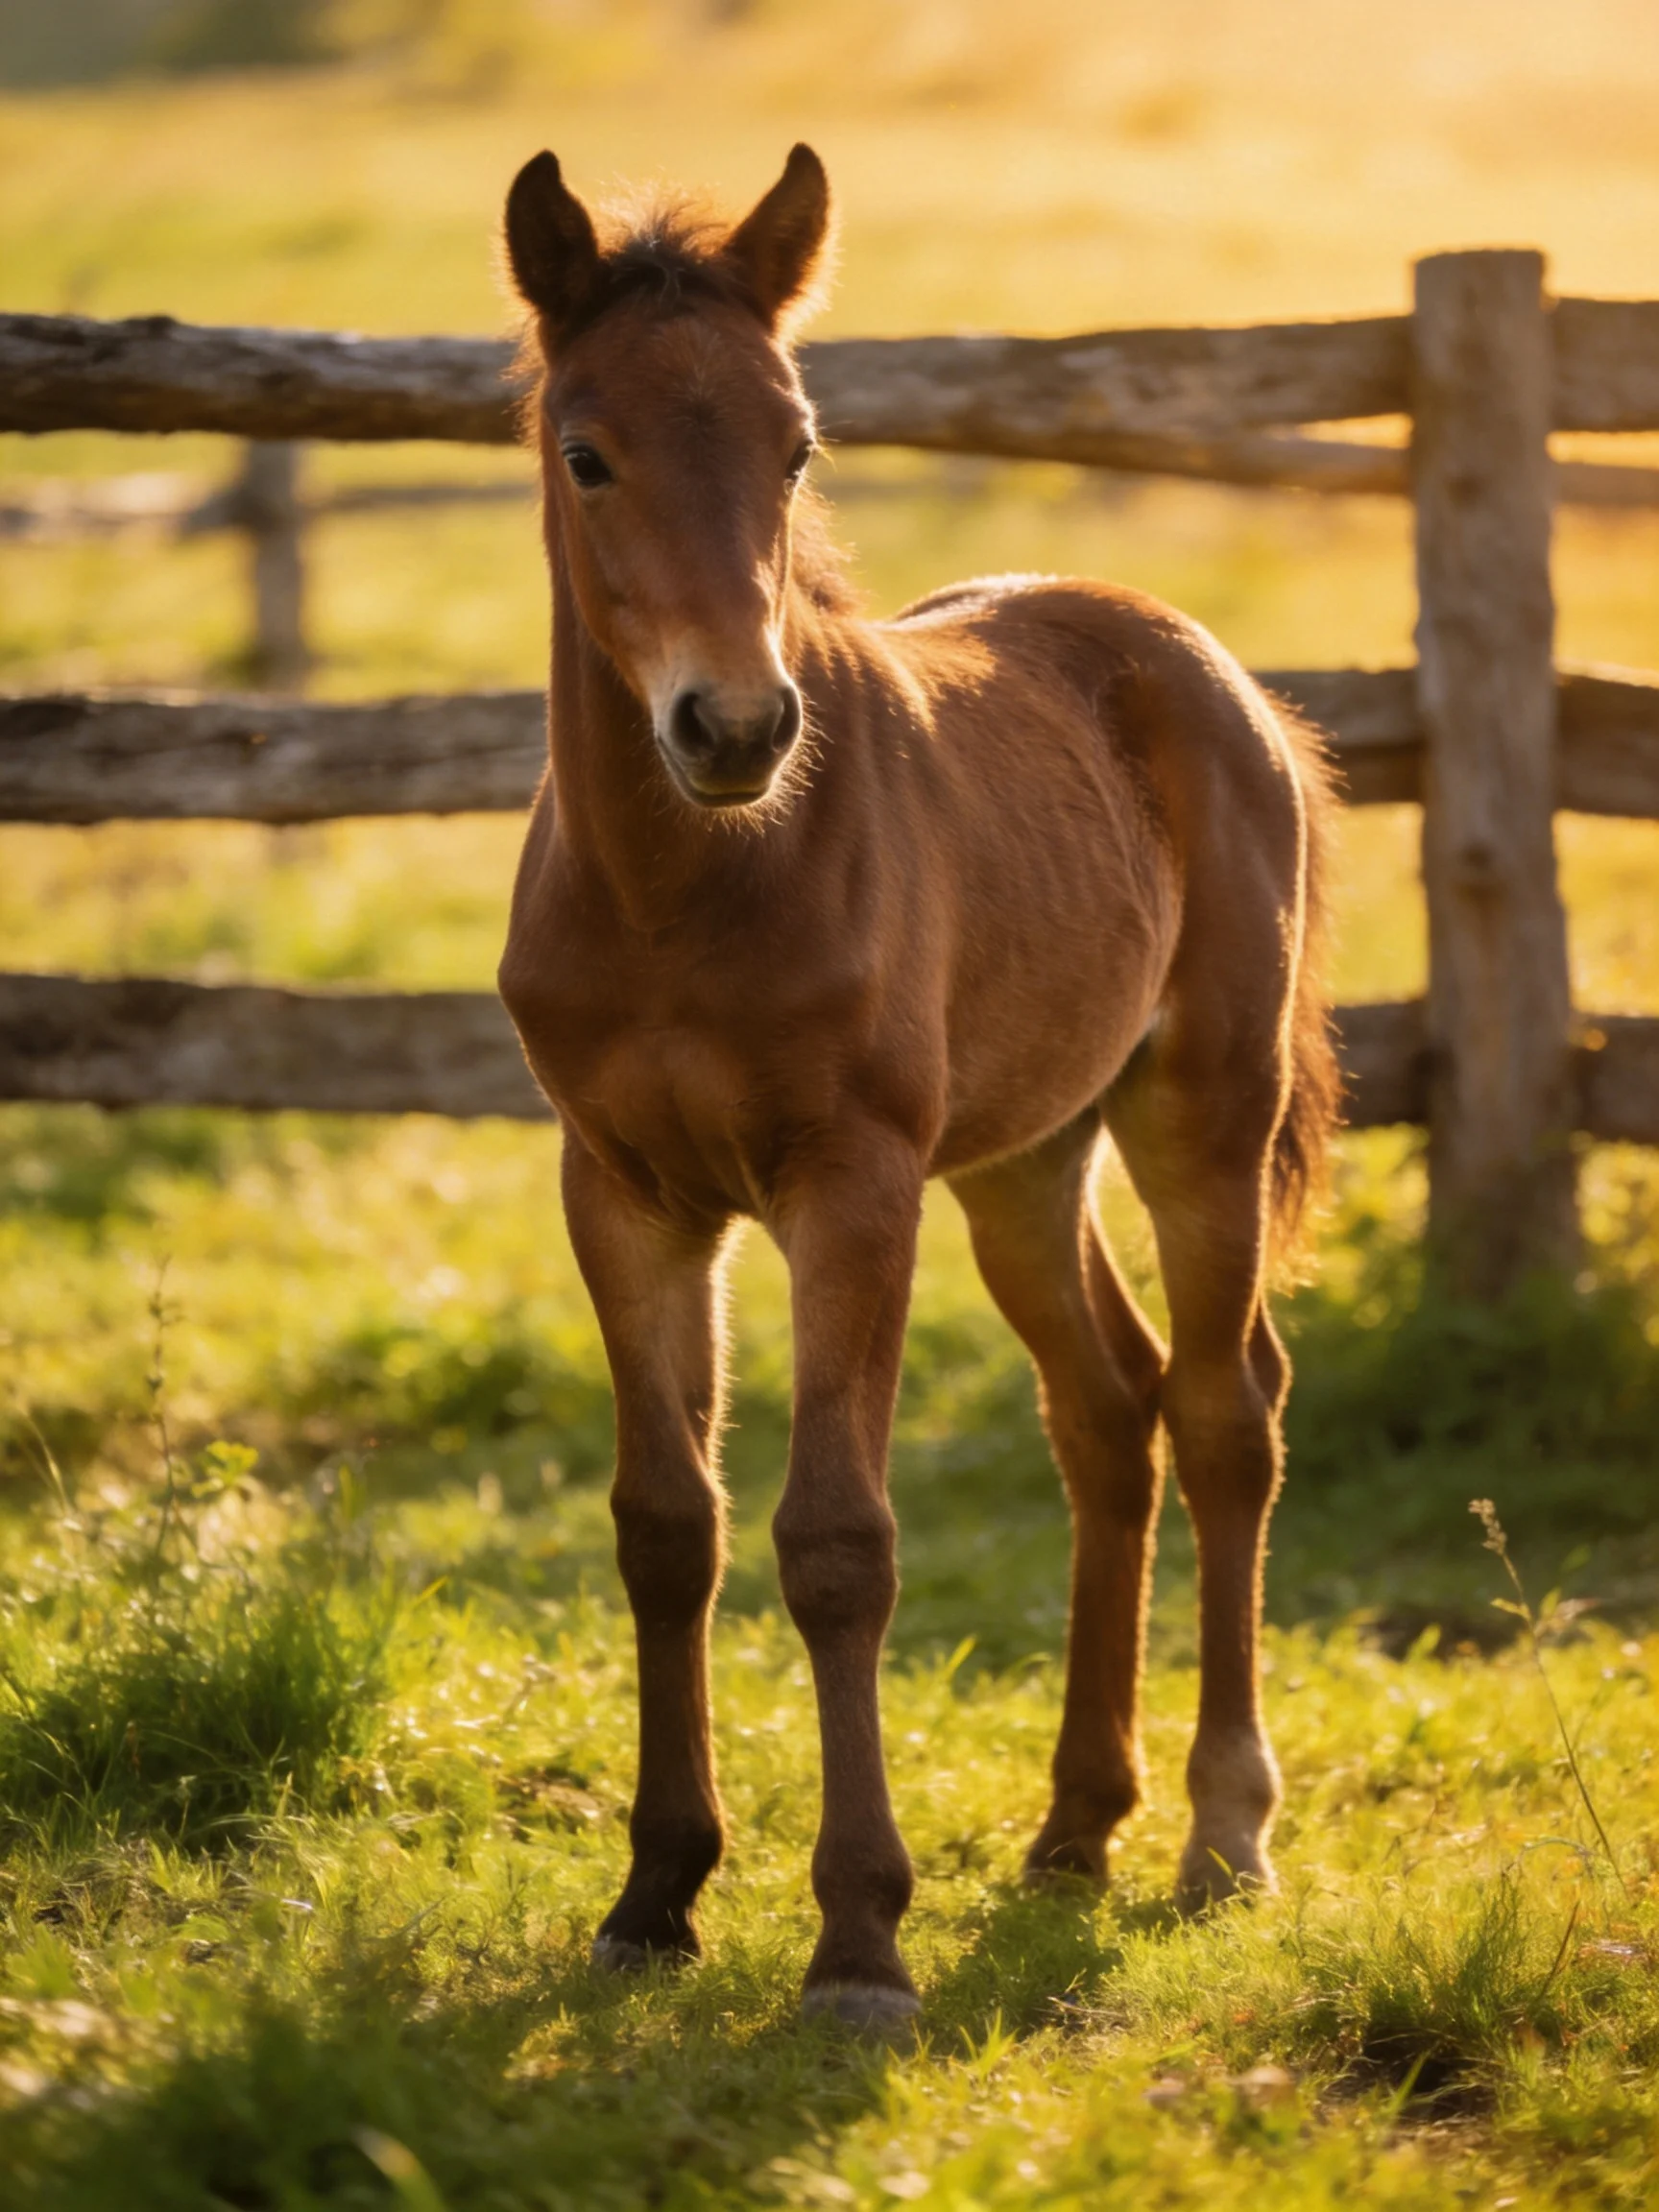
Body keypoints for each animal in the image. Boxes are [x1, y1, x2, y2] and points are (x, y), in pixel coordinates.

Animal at [497, 142, 1338, 2030]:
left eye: (796, 443)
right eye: (588, 451)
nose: (735, 727)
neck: (683, 887)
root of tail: (1204, 665)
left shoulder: (850, 1184)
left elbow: (836, 1542)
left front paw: (858, 1939)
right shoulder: (621, 1191)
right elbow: (665, 1525)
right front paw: (653, 1895)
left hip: (1201, 1109)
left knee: (1222, 1408)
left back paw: (1220, 1831)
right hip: (1022, 1161)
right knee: (1105, 1411)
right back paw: (1073, 1825)